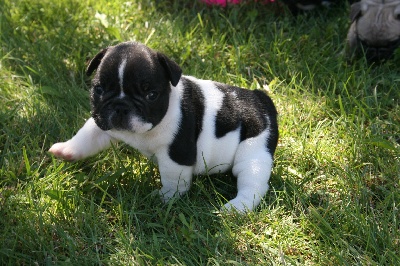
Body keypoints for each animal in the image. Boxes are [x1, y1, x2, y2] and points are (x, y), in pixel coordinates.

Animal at [49, 41, 278, 212]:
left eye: (151, 95)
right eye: (99, 90)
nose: (121, 107)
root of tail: (260, 98)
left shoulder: (176, 154)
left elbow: (172, 178)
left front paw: (164, 198)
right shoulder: (102, 123)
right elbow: (87, 136)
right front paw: (66, 150)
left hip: (254, 150)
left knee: (252, 181)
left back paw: (237, 207)